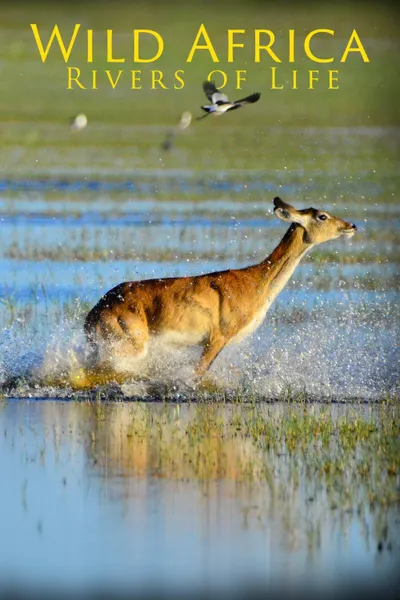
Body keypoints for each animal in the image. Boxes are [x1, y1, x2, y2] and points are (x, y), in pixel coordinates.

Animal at [83, 197, 356, 384]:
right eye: (322, 216)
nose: (351, 225)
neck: (255, 282)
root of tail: (94, 312)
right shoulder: (217, 338)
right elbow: (197, 373)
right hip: (130, 344)